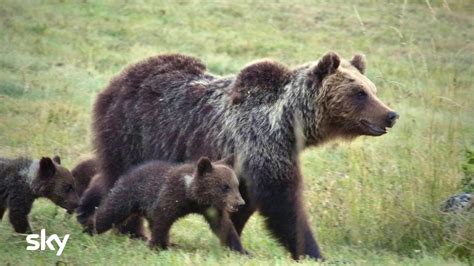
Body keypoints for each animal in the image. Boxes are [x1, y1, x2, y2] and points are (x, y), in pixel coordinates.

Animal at [77, 52, 396, 260]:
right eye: (359, 92)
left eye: (372, 89)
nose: (391, 115)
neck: (292, 124)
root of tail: (121, 77)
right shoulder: (261, 143)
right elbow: (284, 202)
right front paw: (313, 252)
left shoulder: (249, 162)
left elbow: (244, 202)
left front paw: (233, 238)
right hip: (130, 131)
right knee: (121, 177)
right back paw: (130, 229)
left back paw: (86, 209)